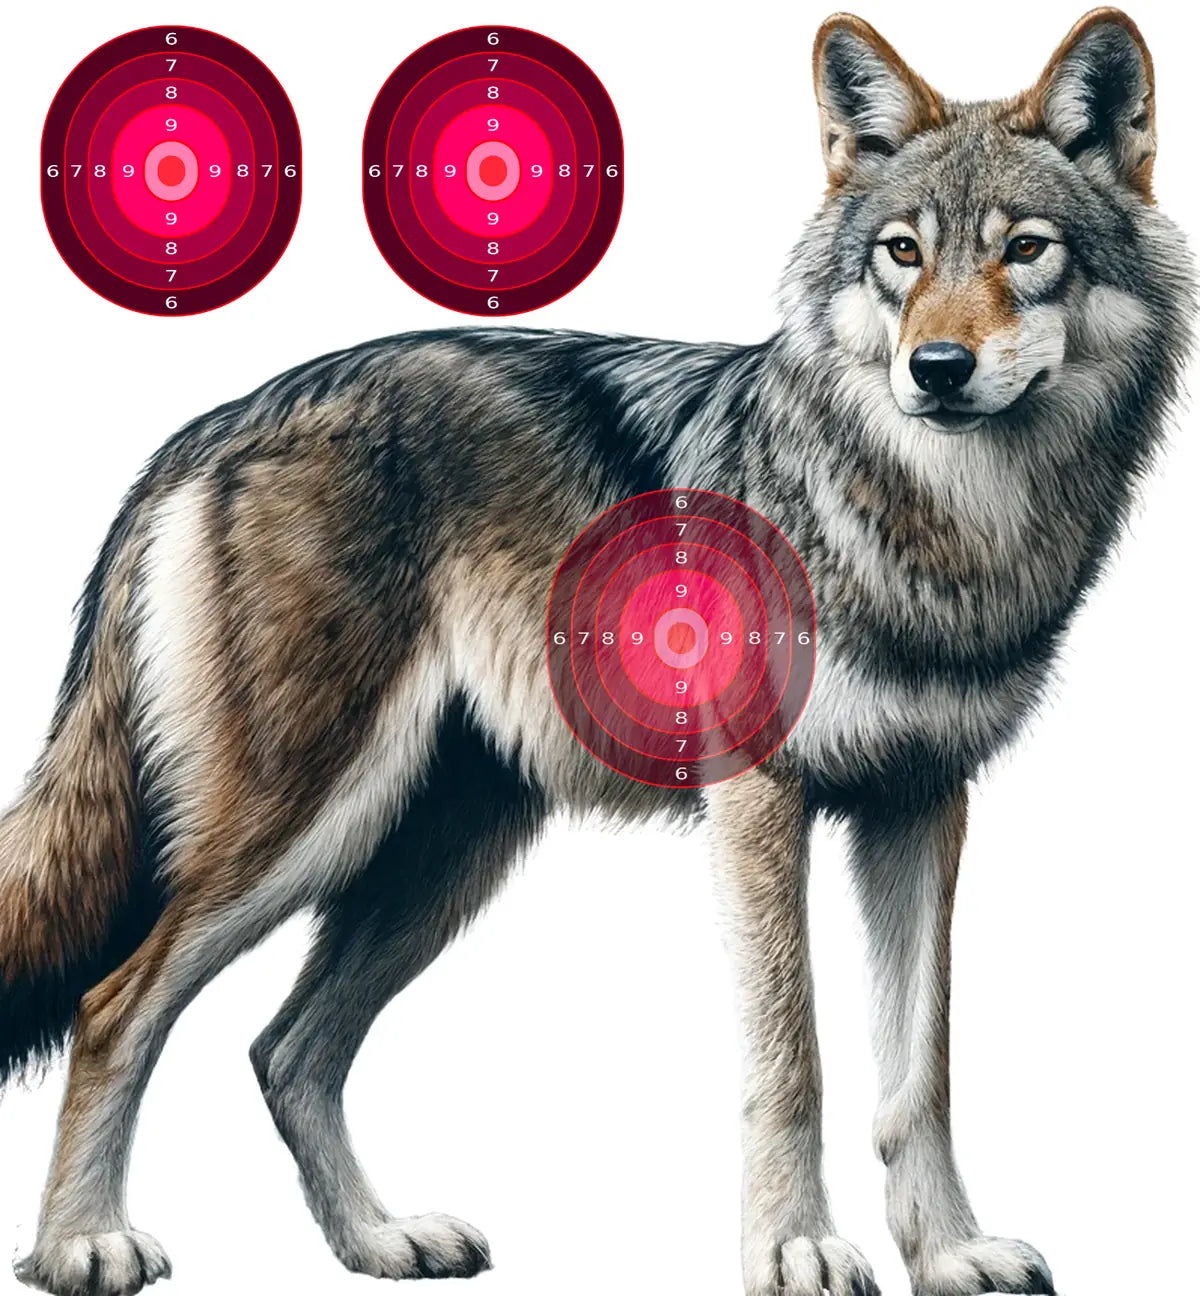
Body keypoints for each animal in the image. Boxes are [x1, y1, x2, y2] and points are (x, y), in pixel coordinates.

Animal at [1, 8, 1191, 1296]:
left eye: (1025, 251)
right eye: (903, 255)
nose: (937, 370)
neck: (937, 522)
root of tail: (206, 427)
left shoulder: (921, 801)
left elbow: (920, 1073)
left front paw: (949, 1251)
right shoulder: (761, 798)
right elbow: (796, 1058)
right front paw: (797, 1247)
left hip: (440, 852)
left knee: (287, 1048)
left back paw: (379, 1241)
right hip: (306, 825)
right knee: (116, 1006)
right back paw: (79, 1243)